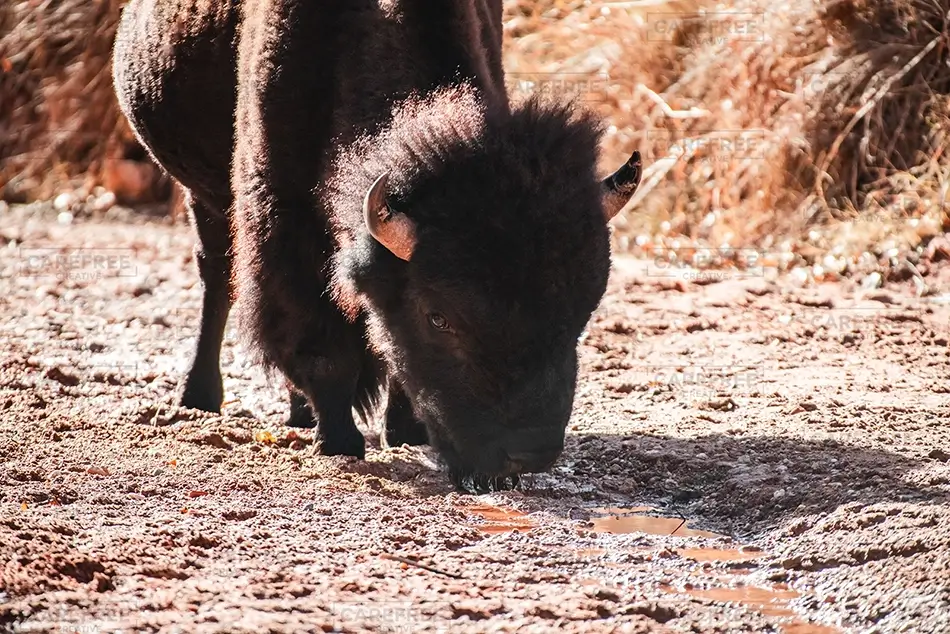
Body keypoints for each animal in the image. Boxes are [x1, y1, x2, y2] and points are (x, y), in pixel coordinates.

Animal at [112, 0, 642, 492]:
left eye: (581, 312)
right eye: (439, 317)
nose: (528, 454)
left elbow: (390, 350)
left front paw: (404, 431)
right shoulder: (286, 232)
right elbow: (322, 345)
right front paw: (339, 442)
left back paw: (298, 413)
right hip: (203, 196)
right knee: (217, 278)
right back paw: (200, 397)